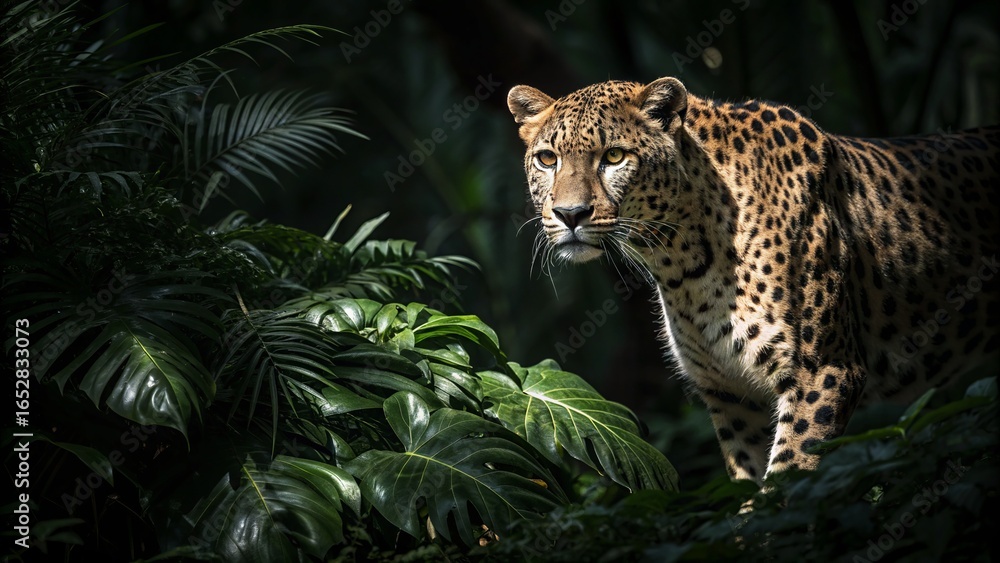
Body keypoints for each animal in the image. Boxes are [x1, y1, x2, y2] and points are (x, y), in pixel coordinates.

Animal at [507, 76, 1000, 484]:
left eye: (614, 157)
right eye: (547, 159)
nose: (570, 214)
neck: (683, 262)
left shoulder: (823, 373)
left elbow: (786, 481)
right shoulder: (730, 392)